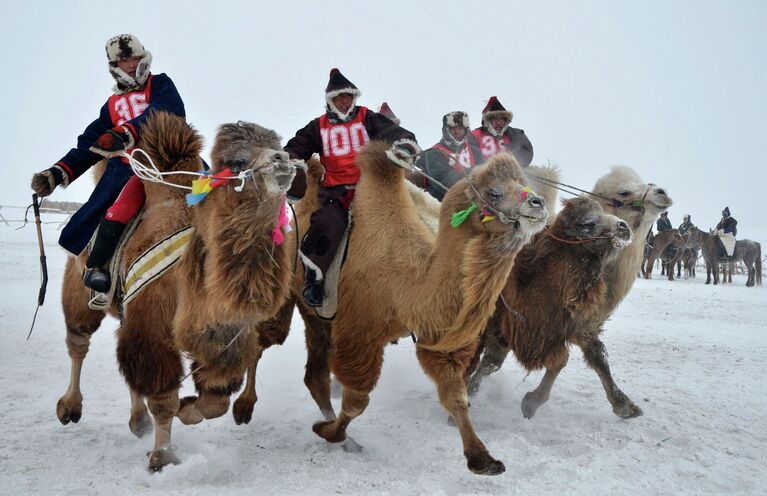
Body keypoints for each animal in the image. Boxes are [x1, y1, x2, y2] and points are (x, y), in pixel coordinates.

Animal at [468, 166, 672, 418]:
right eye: (623, 192)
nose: (662, 193)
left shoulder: (581, 323)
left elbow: (597, 357)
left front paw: (624, 406)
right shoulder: (511, 319)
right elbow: (492, 360)